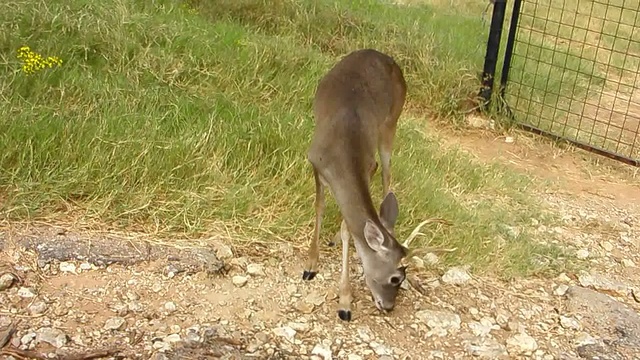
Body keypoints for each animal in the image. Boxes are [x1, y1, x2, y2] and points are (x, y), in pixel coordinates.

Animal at [302, 47, 410, 320]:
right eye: (395, 278)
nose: (388, 306)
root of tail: (382, 55)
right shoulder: (315, 161)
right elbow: (319, 207)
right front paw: (310, 265)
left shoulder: (369, 167)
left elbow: (348, 229)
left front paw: (345, 302)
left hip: (391, 122)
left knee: (388, 176)